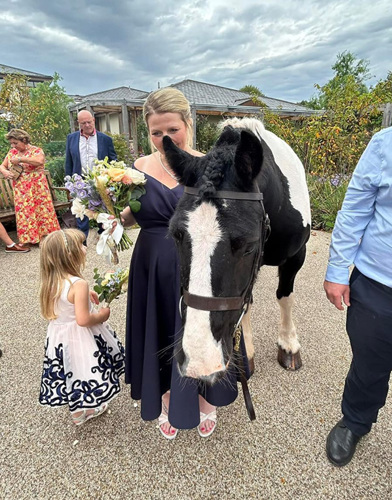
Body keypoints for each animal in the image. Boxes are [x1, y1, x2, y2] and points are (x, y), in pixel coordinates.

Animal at [164, 117, 310, 382]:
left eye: (248, 245)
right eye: (176, 235)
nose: (200, 361)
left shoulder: (296, 256)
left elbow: (285, 297)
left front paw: (288, 345)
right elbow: (246, 303)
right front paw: (246, 356)